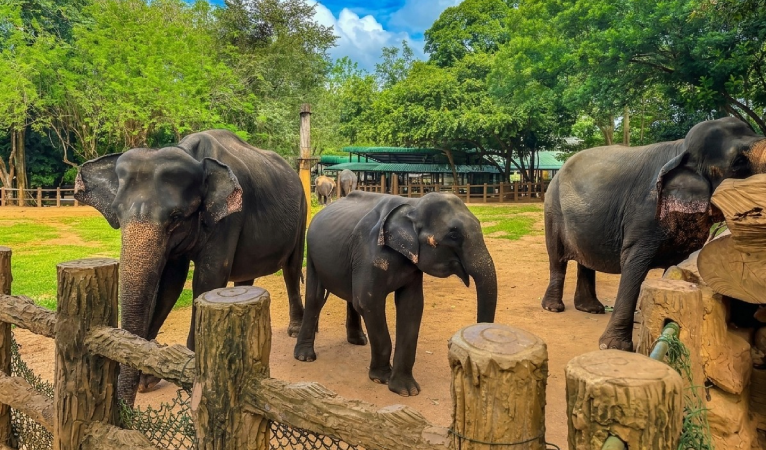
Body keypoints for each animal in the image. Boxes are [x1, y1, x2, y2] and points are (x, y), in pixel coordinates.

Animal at [74, 129, 307, 406]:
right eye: (117, 214)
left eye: (175, 217)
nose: (125, 408)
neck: (189, 153)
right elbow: (170, 283)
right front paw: (147, 379)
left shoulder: (230, 216)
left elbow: (209, 277)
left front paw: (191, 367)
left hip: (302, 212)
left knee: (292, 268)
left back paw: (295, 329)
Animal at [294, 191, 497, 396]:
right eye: (454, 234)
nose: (450, 344)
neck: (412, 205)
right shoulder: (369, 253)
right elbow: (368, 302)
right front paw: (381, 378)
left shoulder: (413, 266)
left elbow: (411, 306)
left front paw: (406, 390)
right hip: (311, 254)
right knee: (315, 298)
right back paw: (305, 357)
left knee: (350, 297)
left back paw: (358, 341)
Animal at [542, 117, 766, 351]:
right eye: (738, 162)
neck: (681, 149)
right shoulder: (644, 212)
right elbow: (633, 264)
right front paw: (613, 347)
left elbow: (677, 266)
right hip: (552, 209)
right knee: (557, 259)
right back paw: (554, 308)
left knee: (585, 262)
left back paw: (591, 309)